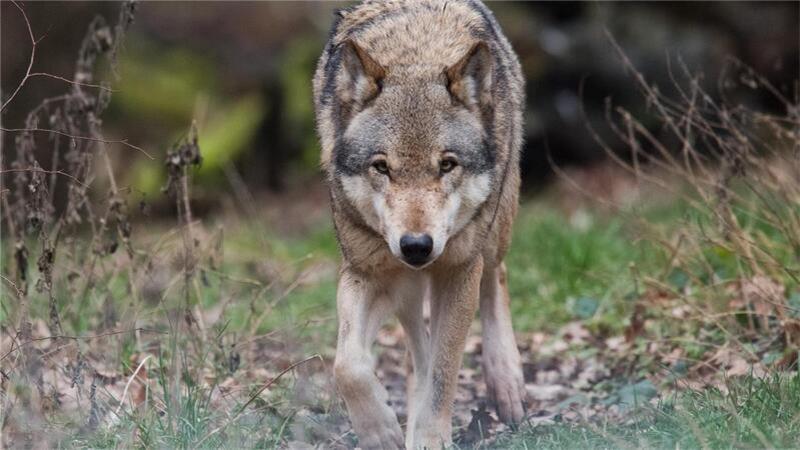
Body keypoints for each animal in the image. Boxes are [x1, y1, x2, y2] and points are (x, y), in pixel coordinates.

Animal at [316, 1, 528, 448]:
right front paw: (381, 431)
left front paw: (429, 437)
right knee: (417, 347)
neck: (415, 54)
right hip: (406, 288)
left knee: (496, 276)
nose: (416, 245)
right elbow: (348, 366)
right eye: (382, 167)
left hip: (492, 232)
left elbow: (443, 375)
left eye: (447, 164)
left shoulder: (458, 271)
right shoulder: (367, 271)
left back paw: (506, 383)